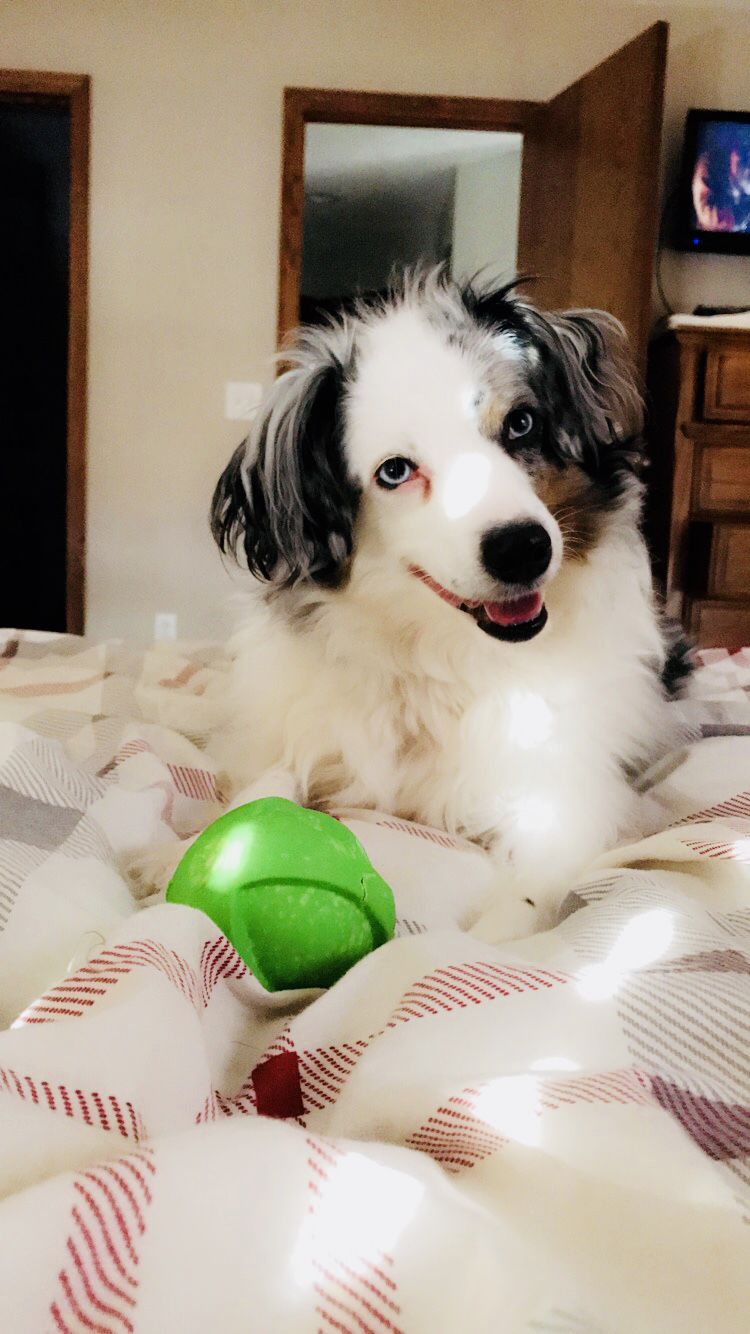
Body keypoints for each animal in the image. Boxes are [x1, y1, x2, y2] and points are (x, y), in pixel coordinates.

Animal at [132, 268, 683, 939]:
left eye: (521, 425)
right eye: (395, 471)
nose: (522, 550)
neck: (436, 652)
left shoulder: (569, 798)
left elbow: (521, 901)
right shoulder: (310, 729)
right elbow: (261, 789)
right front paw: (176, 856)